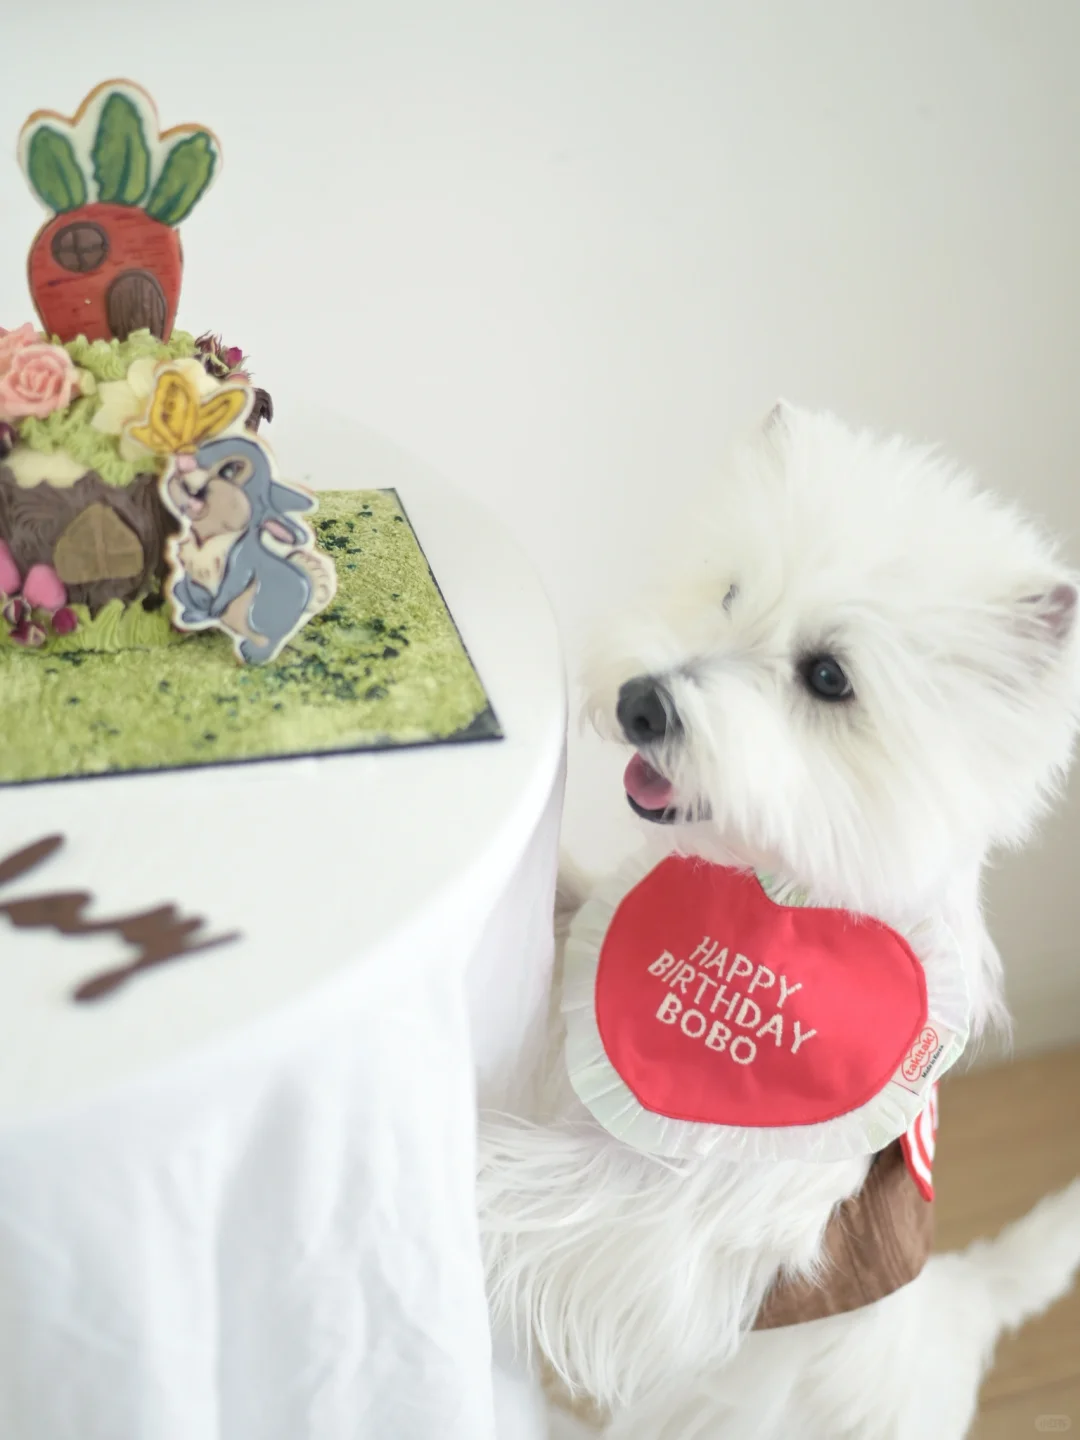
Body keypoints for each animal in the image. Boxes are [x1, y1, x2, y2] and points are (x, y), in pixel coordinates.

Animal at [479, 404, 1080, 1439]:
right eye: (728, 591)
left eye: (829, 676)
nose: (641, 703)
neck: (779, 897)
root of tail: (964, 1309)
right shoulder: (592, 963)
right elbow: (571, 902)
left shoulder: (684, 1228)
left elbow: (532, 1188)